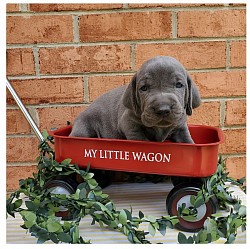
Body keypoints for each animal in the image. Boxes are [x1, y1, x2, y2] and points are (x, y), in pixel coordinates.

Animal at [70, 55, 201, 143]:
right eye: (144, 88)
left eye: (179, 85)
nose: (163, 109)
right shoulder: (129, 124)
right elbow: (141, 139)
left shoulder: (181, 127)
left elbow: (188, 141)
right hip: (83, 128)